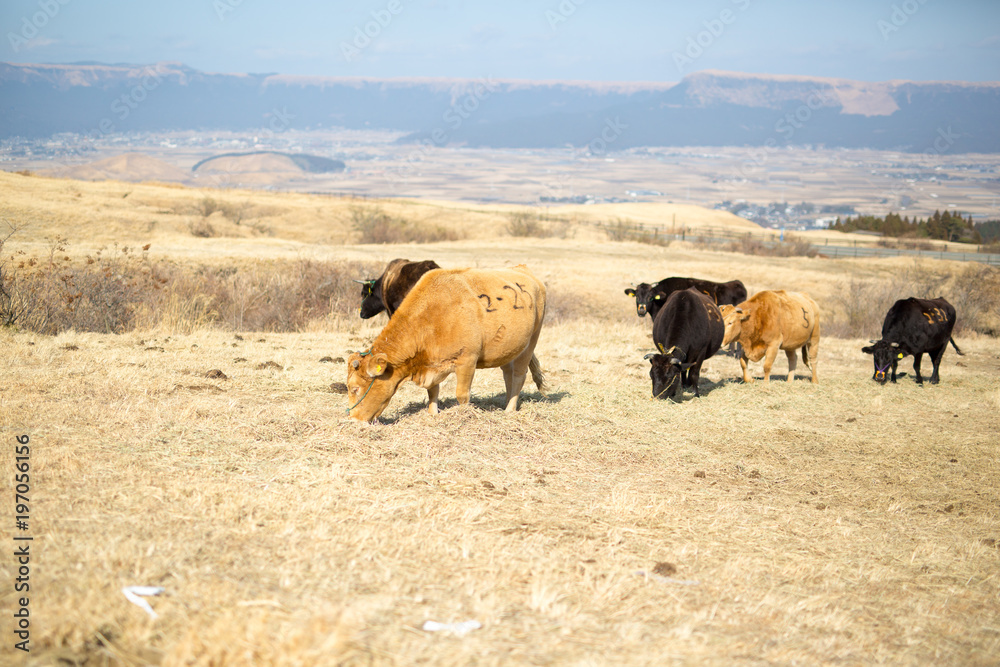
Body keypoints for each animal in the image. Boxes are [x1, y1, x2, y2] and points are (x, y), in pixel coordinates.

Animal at [344, 266, 548, 422]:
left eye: (355, 388)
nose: (352, 419)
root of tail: (523, 269)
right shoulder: (430, 363)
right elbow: (433, 391)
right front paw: (432, 414)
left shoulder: (467, 360)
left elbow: (462, 395)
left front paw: (464, 415)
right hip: (509, 349)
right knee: (508, 375)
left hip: (531, 342)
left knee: (519, 376)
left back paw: (510, 410)